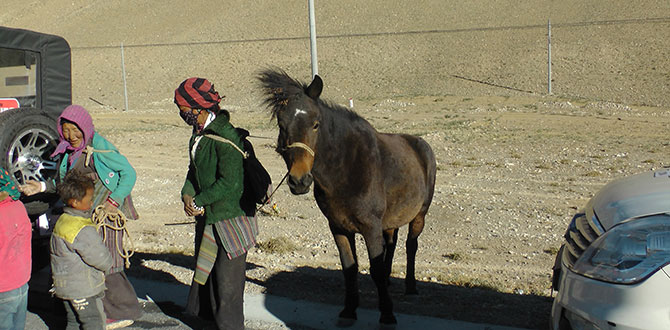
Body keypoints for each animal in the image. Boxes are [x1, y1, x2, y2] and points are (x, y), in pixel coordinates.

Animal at [260, 68, 438, 326]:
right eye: (282, 125)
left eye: (316, 124)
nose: (299, 181)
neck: (346, 169)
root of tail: (421, 143)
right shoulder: (338, 227)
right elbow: (350, 267)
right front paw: (349, 310)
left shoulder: (371, 227)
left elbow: (374, 268)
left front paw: (387, 313)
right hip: (391, 220)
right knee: (392, 244)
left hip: (419, 215)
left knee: (410, 245)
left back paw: (411, 286)